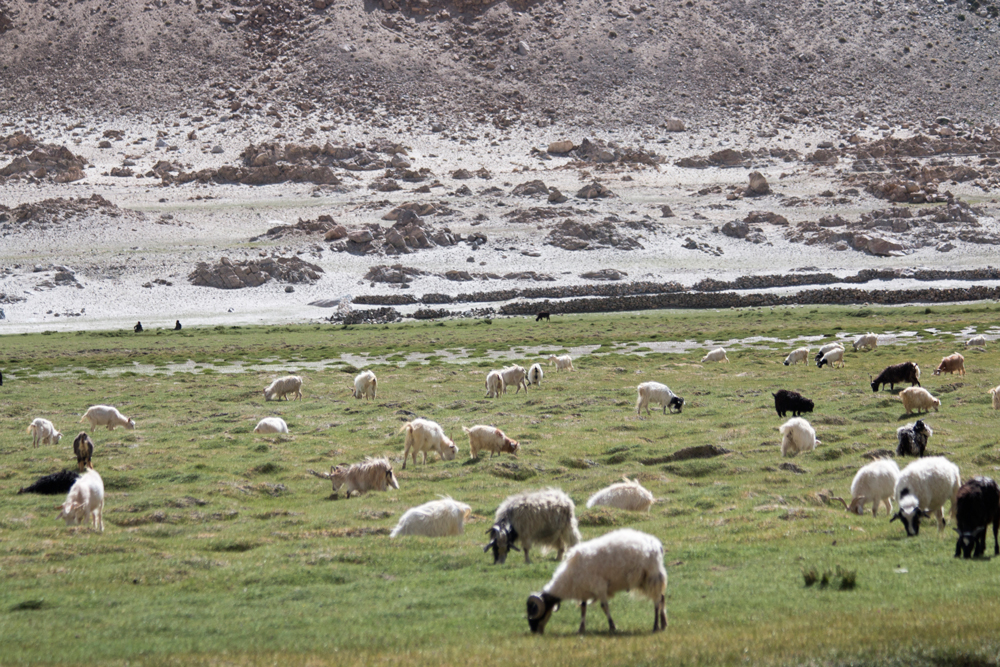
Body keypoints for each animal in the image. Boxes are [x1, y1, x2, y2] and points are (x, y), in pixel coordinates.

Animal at [528, 528, 668, 636]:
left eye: (535, 613)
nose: (534, 632)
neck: (568, 579)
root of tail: (657, 545)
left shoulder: (599, 587)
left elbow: (604, 606)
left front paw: (612, 627)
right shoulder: (584, 590)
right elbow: (583, 608)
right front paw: (581, 629)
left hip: (652, 576)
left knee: (657, 600)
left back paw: (655, 627)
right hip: (645, 579)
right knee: (662, 597)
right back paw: (663, 624)